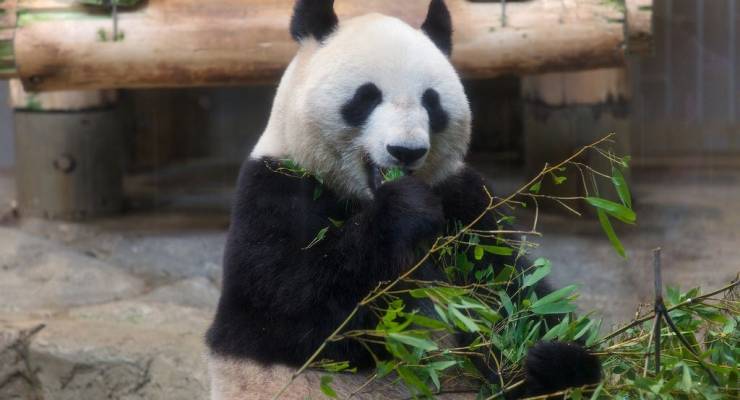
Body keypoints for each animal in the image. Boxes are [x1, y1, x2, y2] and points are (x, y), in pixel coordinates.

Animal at [207, 1, 600, 398]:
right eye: (366, 97)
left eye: (432, 101)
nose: (405, 151)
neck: (362, 196)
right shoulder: (275, 190)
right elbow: (290, 308)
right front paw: (404, 210)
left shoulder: (463, 203)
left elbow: (511, 290)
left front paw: (558, 357)